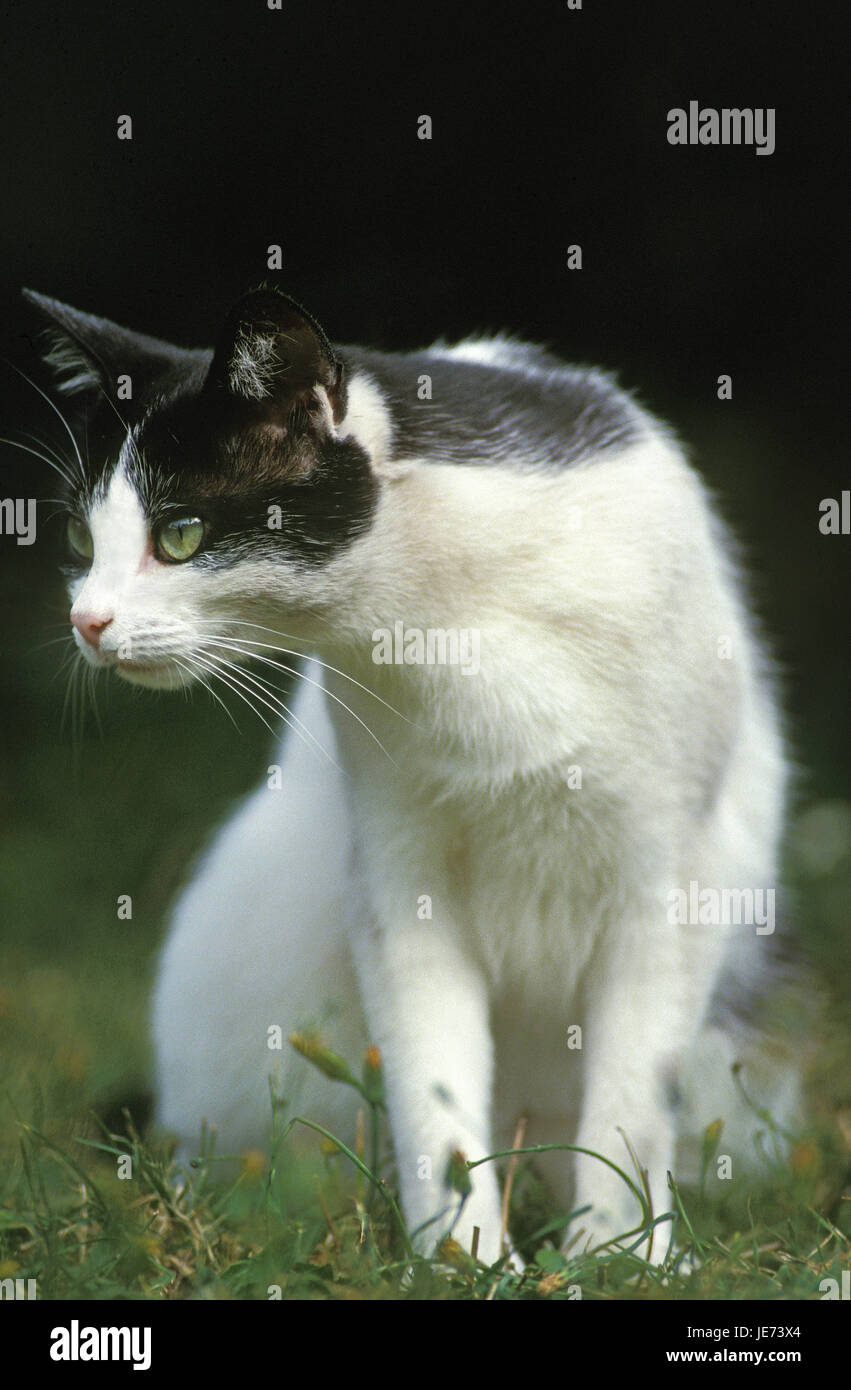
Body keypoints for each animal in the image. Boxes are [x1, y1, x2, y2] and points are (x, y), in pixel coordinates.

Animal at [21, 287, 806, 1267]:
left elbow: (632, 1098)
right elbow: (434, 1089)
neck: (455, 625)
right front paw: (466, 1258)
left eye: (181, 534)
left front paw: (621, 1257)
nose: (86, 621)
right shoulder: (400, 882)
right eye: (81, 534)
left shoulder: (669, 882)